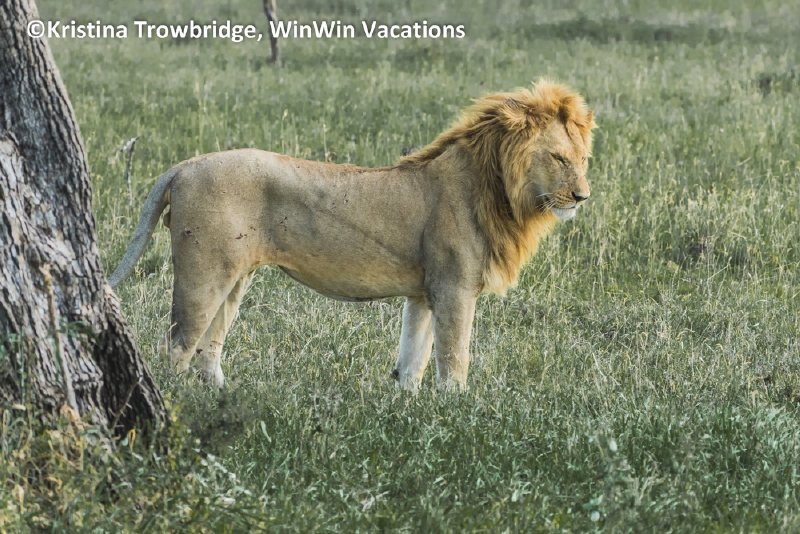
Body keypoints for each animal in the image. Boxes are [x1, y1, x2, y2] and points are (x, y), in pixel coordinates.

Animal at [108, 80, 595, 391]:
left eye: (584, 158)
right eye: (558, 158)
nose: (582, 196)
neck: (499, 192)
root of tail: (184, 166)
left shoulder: (424, 292)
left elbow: (413, 360)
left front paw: (411, 412)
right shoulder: (455, 288)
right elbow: (454, 358)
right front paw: (457, 416)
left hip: (236, 276)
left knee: (208, 348)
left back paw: (222, 399)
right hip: (203, 272)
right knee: (177, 347)